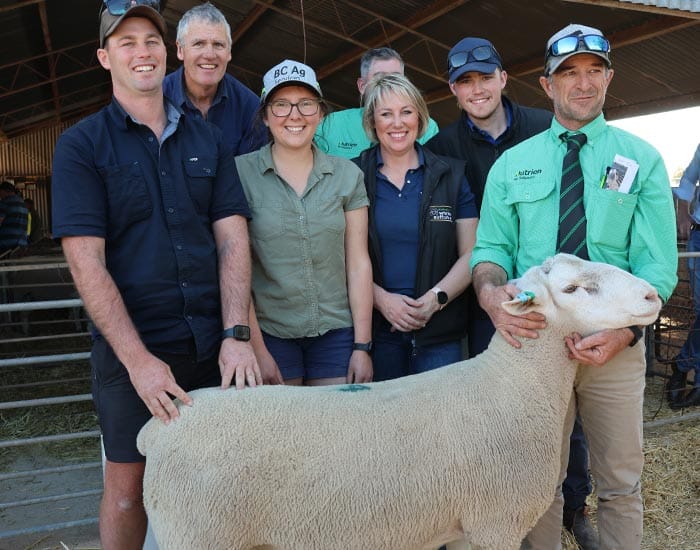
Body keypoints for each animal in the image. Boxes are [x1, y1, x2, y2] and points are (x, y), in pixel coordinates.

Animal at [136, 254, 662, 550]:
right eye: (572, 288)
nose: (653, 294)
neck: (513, 385)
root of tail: (162, 425)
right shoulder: (495, 523)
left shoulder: (464, 529)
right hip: (199, 534)